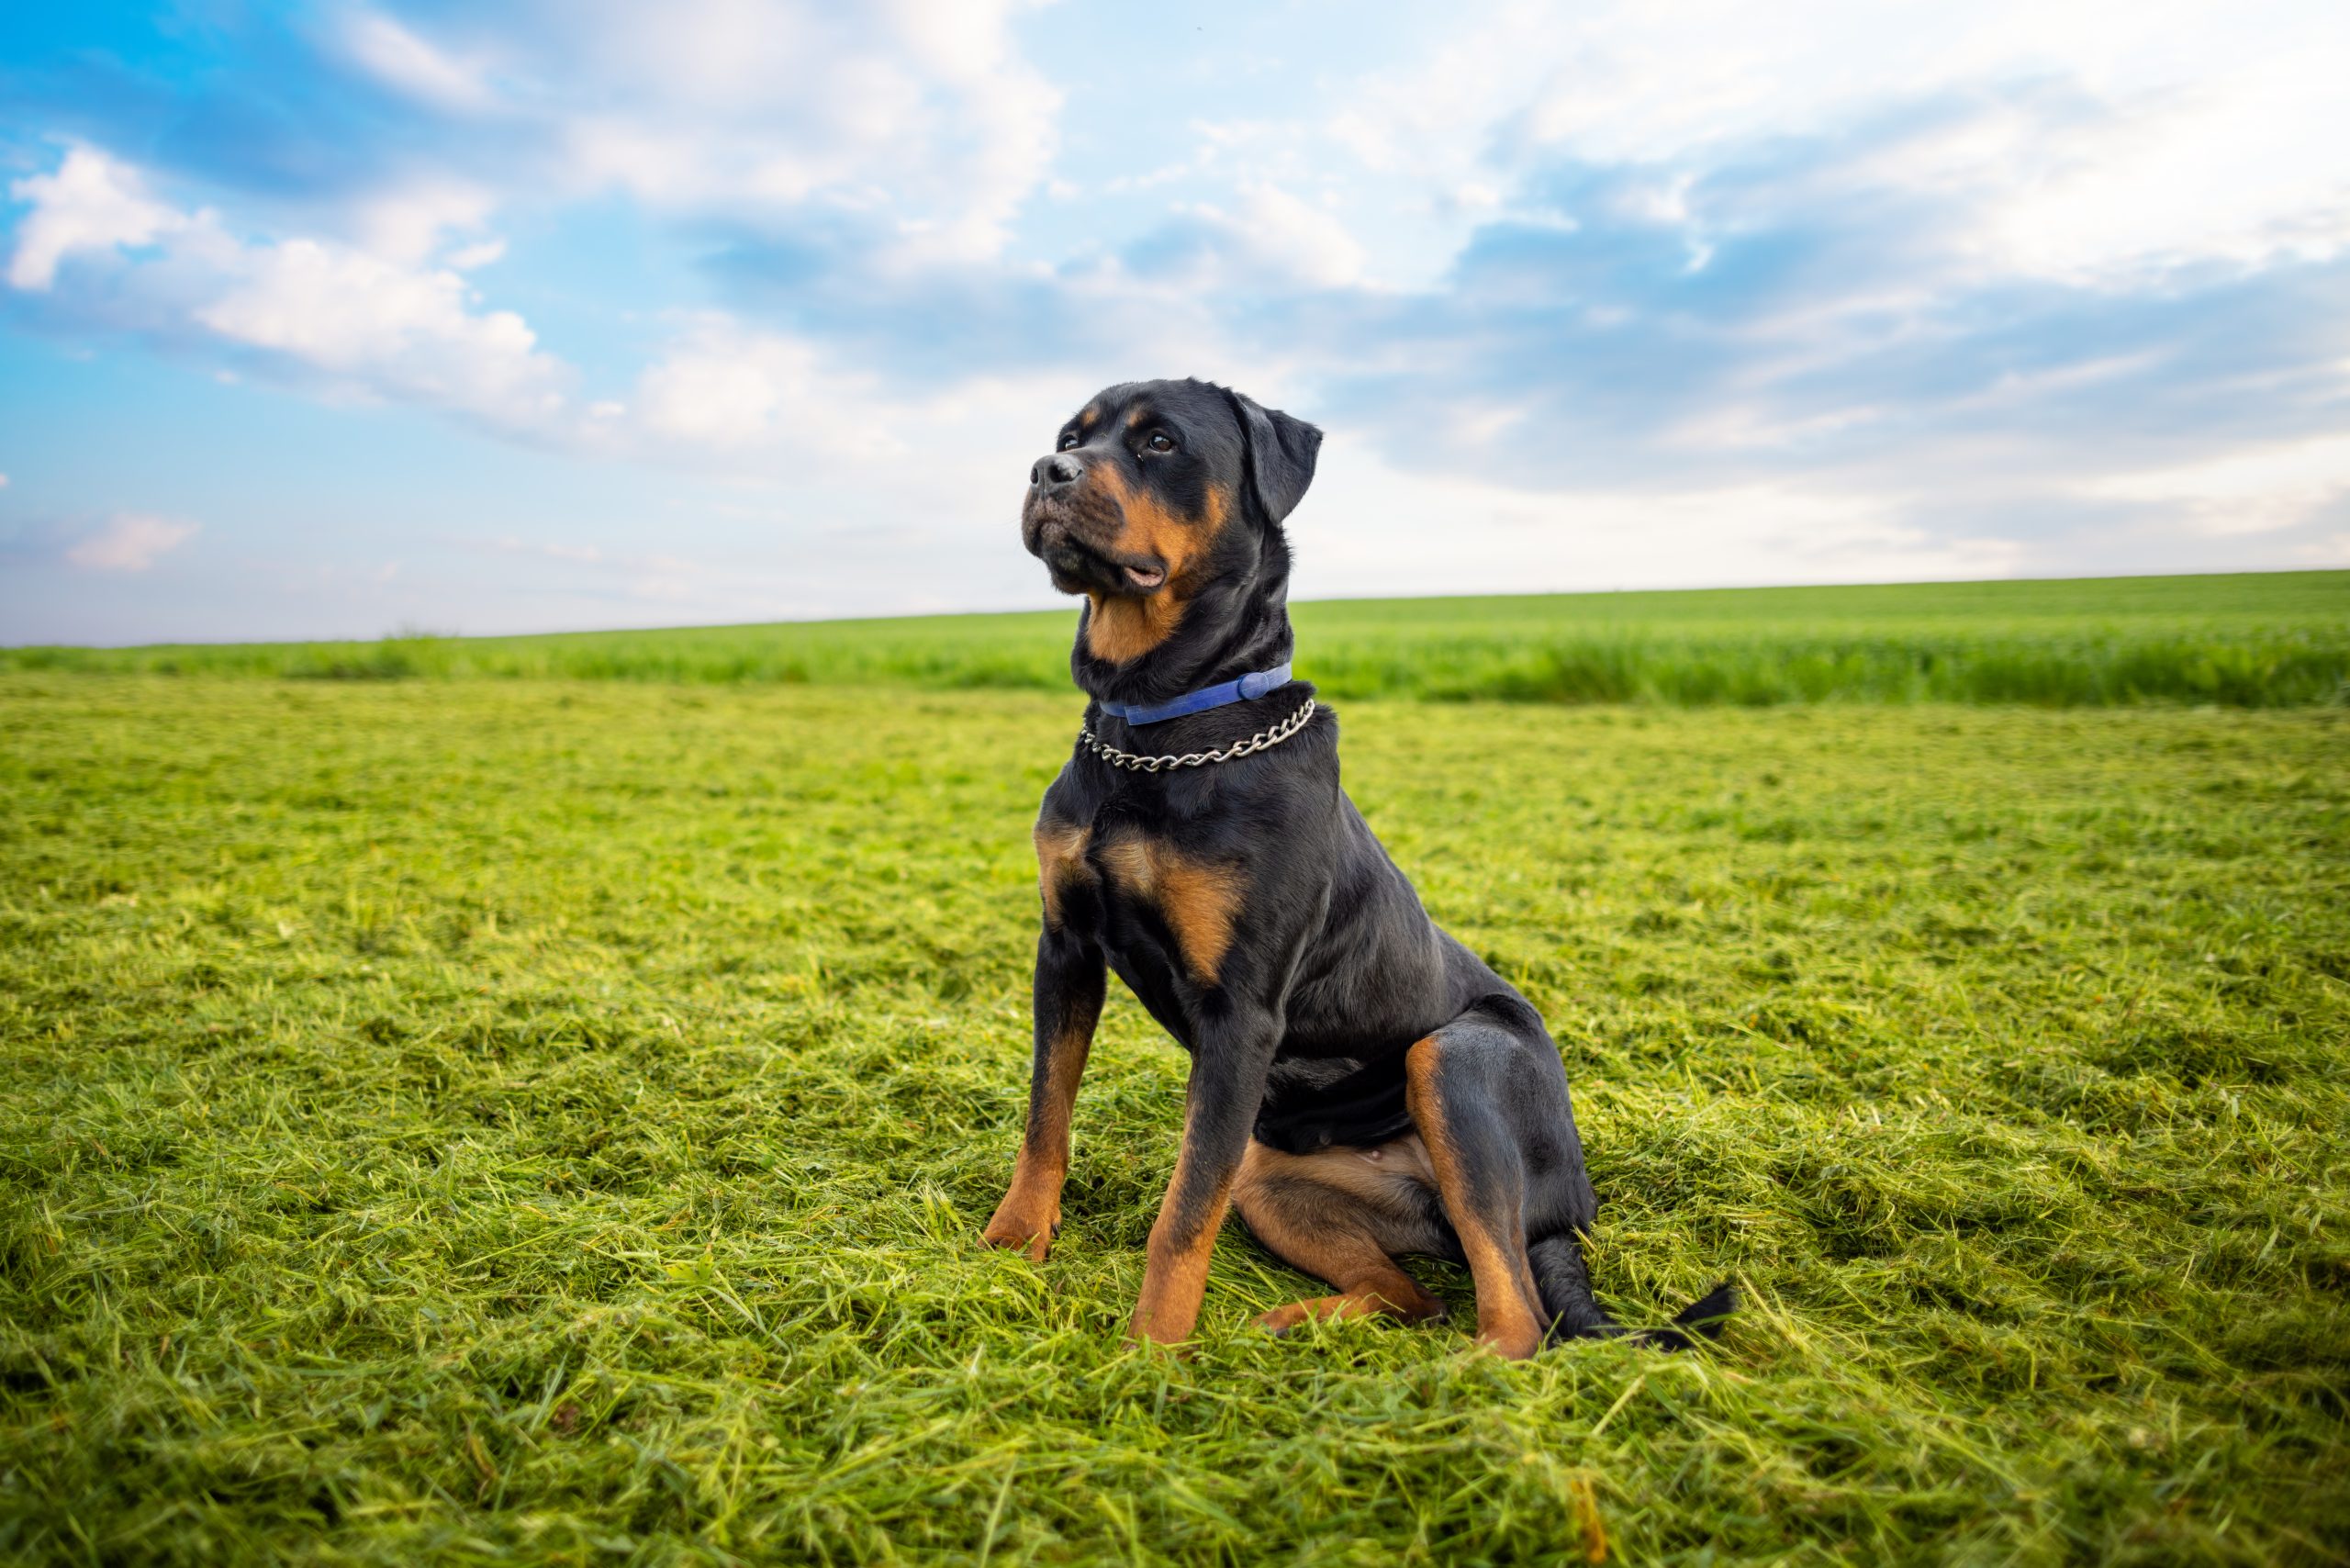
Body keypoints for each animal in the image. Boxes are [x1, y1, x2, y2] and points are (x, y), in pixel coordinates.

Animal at [982, 380, 1739, 1363]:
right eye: (1071, 436)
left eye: (1159, 443)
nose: (1048, 470)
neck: (1156, 729)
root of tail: (1564, 1217)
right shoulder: (1065, 947)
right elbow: (1046, 1116)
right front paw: (1008, 1248)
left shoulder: (1242, 1012)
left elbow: (1181, 1214)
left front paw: (1150, 1353)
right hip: (1272, 1181)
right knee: (1411, 1294)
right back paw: (1289, 1325)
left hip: (1457, 1060)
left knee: (1515, 1319)